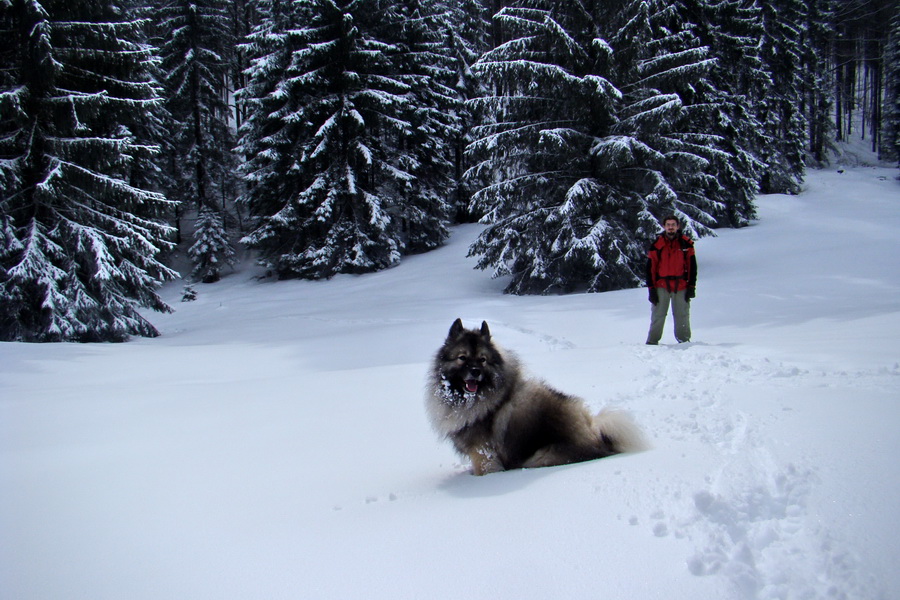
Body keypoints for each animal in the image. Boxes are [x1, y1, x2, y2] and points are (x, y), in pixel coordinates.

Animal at [426, 316, 644, 476]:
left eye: (482, 360)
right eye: (462, 358)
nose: (475, 372)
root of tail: (597, 436)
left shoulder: (483, 452)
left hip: (541, 456)